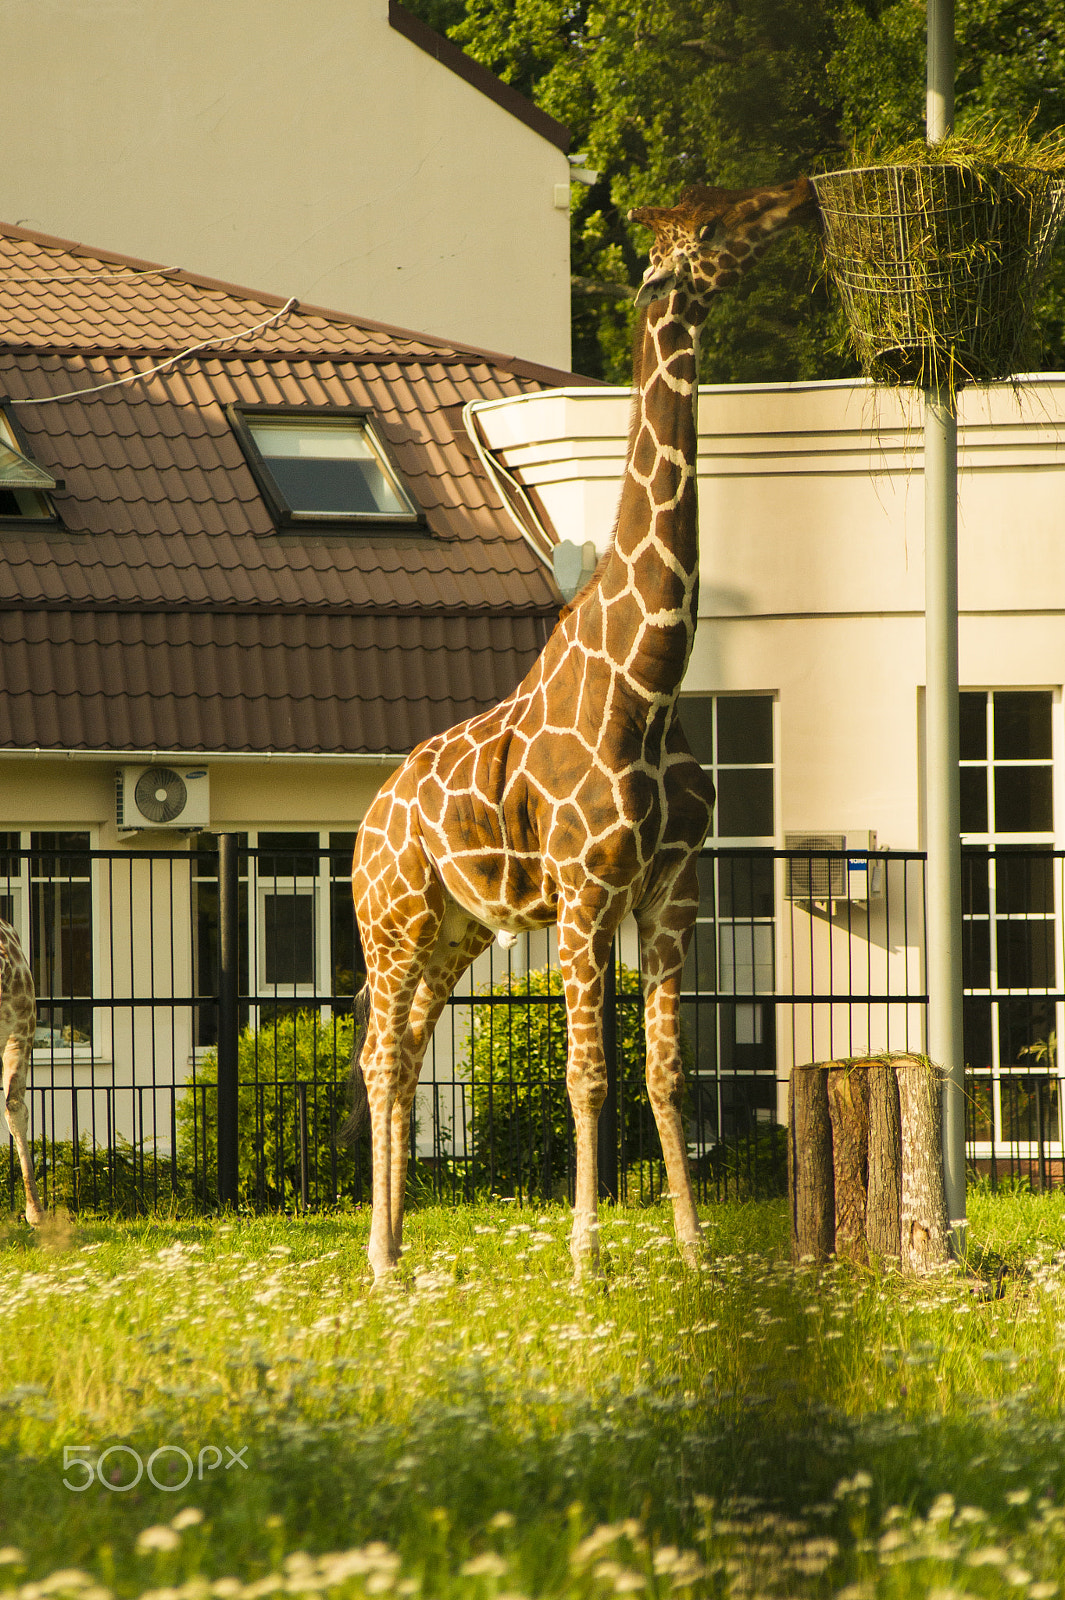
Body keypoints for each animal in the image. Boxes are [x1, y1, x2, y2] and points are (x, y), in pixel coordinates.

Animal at [348, 175, 812, 1280]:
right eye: (715, 226)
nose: (802, 199)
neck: (649, 683)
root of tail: (362, 826)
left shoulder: (672, 890)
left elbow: (666, 1074)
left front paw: (692, 1252)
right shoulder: (586, 893)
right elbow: (587, 1076)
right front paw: (587, 1256)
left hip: (457, 928)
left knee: (411, 1047)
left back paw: (399, 1247)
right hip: (391, 919)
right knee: (381, 1057)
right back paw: (380, 1261)